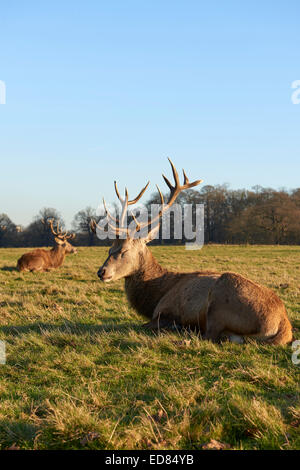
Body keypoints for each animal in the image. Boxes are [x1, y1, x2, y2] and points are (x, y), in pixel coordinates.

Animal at [94, 159, 292, 346]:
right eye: (110, 249)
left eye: (124, 250)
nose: (101, 272)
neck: (157, 295)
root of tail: (283, 325)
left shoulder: (164, 311)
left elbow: (146, 325)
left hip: (219, 303)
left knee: (210, 336)